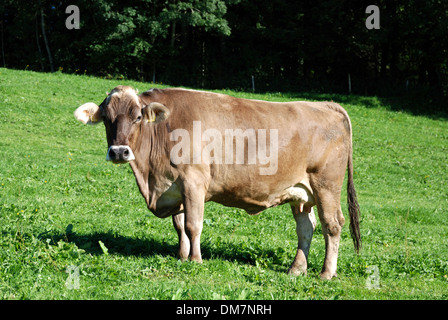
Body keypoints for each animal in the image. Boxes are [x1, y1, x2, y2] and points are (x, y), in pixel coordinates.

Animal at [73, 86, 360, 278]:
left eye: (138, 117)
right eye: (107, 119)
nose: (119, 152)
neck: (151, 178)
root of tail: (325, 104)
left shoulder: (194, 182)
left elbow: (193, 225)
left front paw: (195, 260)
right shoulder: (174, 188)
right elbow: (180, 227)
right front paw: (181, 256)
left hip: (326, 185)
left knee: (333, 225)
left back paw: (326, 273)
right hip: (301, 192)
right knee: (306, 228)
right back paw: (296, 269)